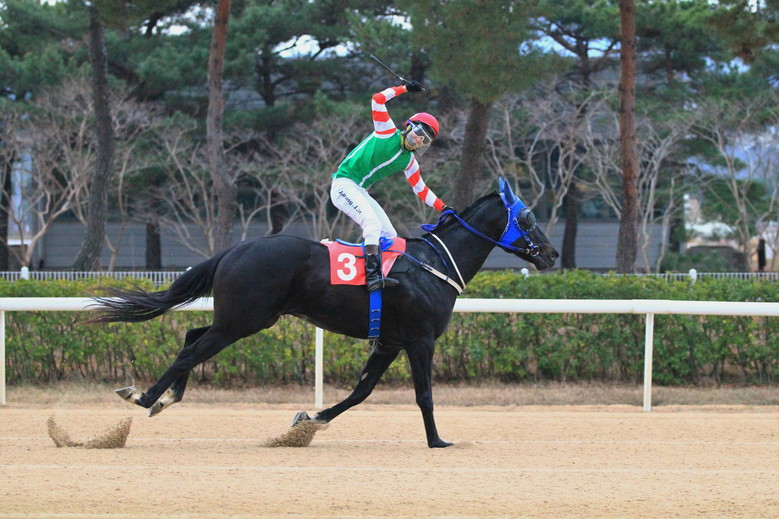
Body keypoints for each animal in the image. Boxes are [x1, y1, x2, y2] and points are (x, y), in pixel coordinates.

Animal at [89, 177, 558, 448]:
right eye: (527, 218)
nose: (552, 254)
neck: (436, 264)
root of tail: (235, 249)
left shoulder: (389, 342)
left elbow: (360, 393)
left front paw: (309, 420)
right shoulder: (419, 339)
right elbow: (424, 395)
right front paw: (437, 441)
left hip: (241, 317)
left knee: (192, 336)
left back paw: (166, 398)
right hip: (244, 320)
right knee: (192, 350)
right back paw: (145, 396)